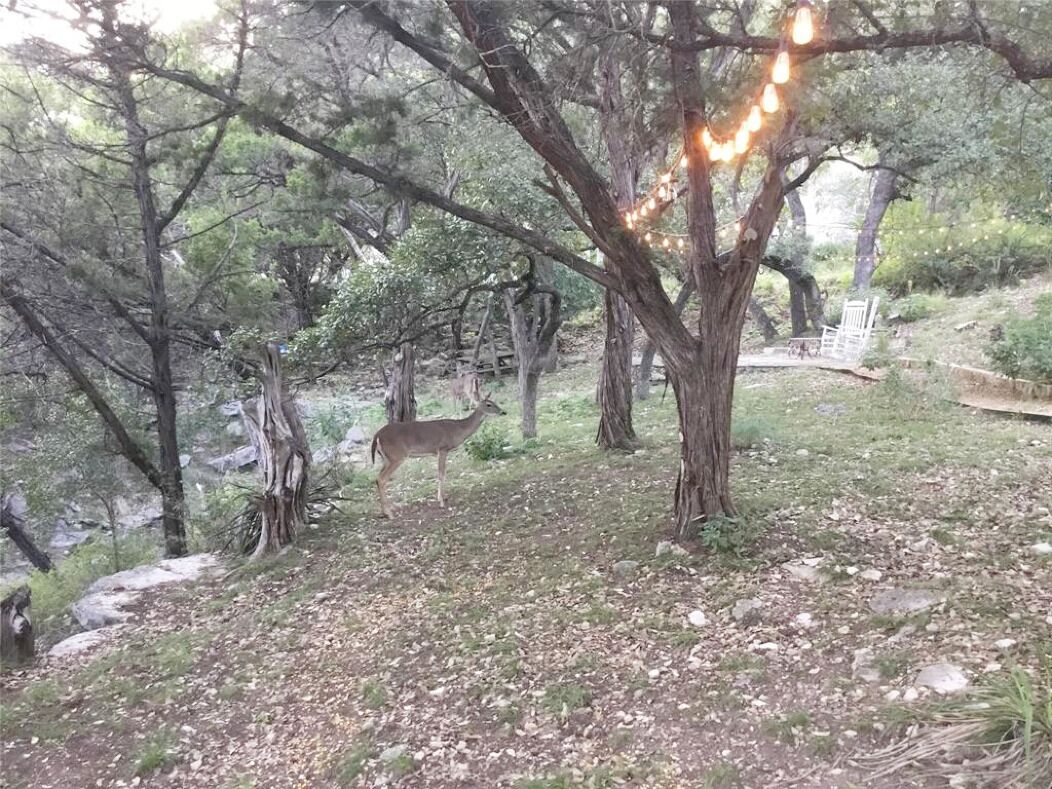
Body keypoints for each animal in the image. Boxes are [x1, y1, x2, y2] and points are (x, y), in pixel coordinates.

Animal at [370, 396, 506, 518]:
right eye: (489, 404)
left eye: (495, 402)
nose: (503, 412)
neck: (458, 429)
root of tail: (377, 435)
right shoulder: (442, 449)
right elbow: (441, 473)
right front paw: (441, 501)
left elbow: (442, 473)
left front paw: (443, 497)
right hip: (396, 456)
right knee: (382, 479)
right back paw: (389, 513)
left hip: (386, 458)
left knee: (378, 478)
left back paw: (389, 509)